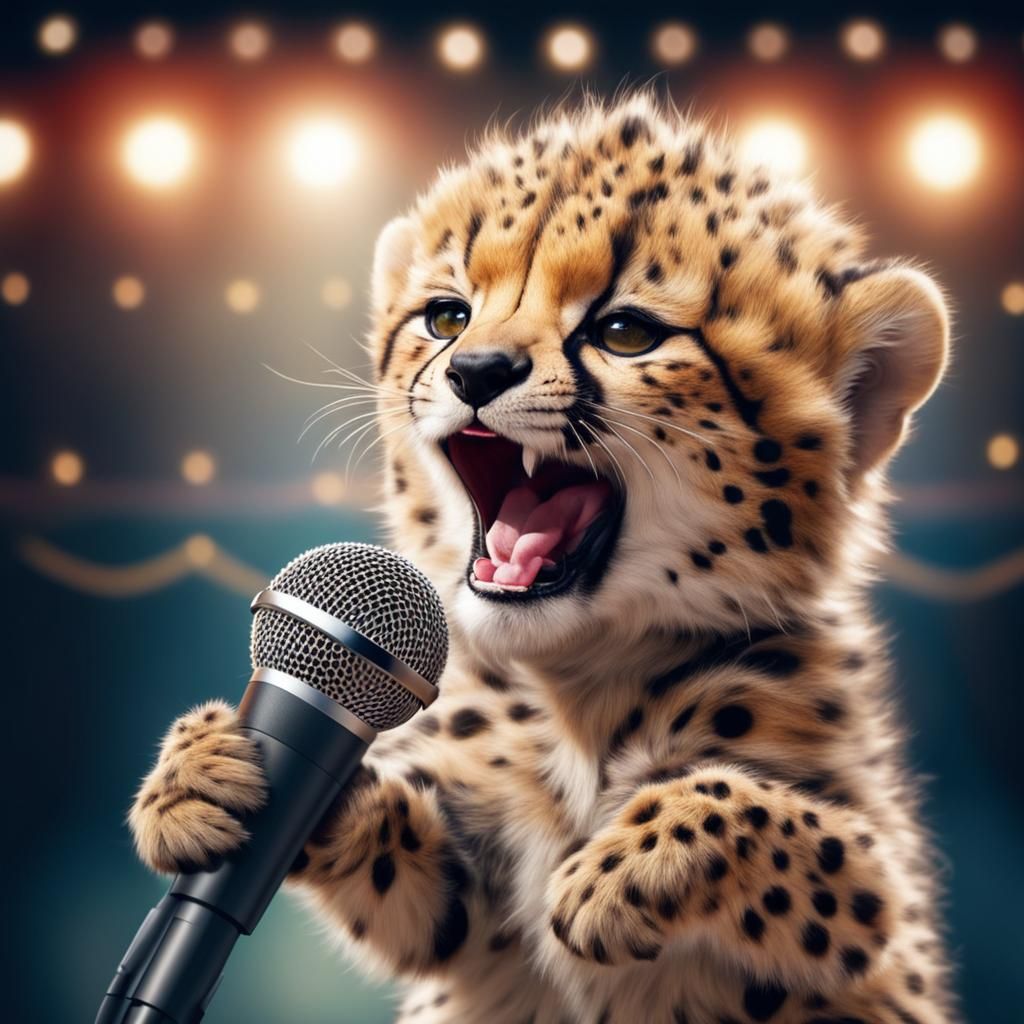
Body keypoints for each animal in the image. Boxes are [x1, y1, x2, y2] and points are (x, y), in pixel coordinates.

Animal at [129, 93, 957, 1024]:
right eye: (448, 316)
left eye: (624, 331)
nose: (477, 370)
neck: (578, 685)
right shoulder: (459, 908)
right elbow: (398, 848)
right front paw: (201, 767)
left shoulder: (884, 918)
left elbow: (779, 820)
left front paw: (626, 865)